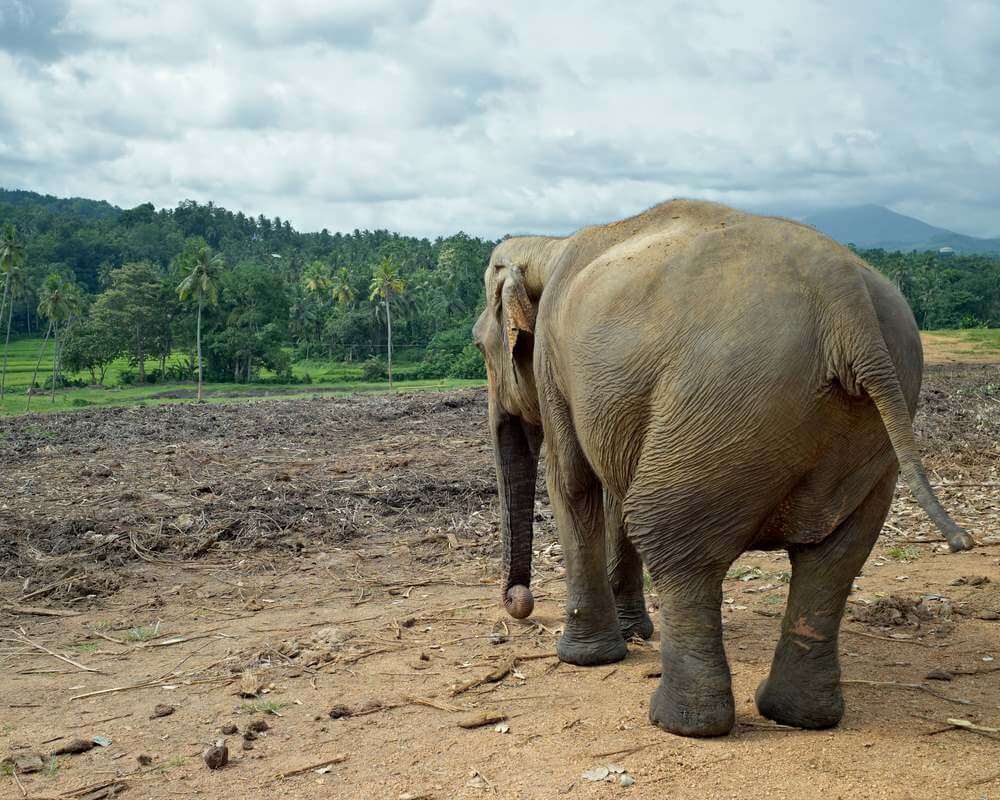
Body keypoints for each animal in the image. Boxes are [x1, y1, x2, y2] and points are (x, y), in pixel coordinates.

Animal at [472, 198, 972, 736]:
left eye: (479, 345)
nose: (519, 603)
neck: (549, 246)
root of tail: (848, 306)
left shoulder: (554, 364)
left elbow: (574, 483)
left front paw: (585, 658)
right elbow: (610, 491)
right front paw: (633, 633)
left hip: (723, 405)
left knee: (667, 532)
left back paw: (680, 721)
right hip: (868, 423)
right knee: (836, 554)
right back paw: (797, 714)